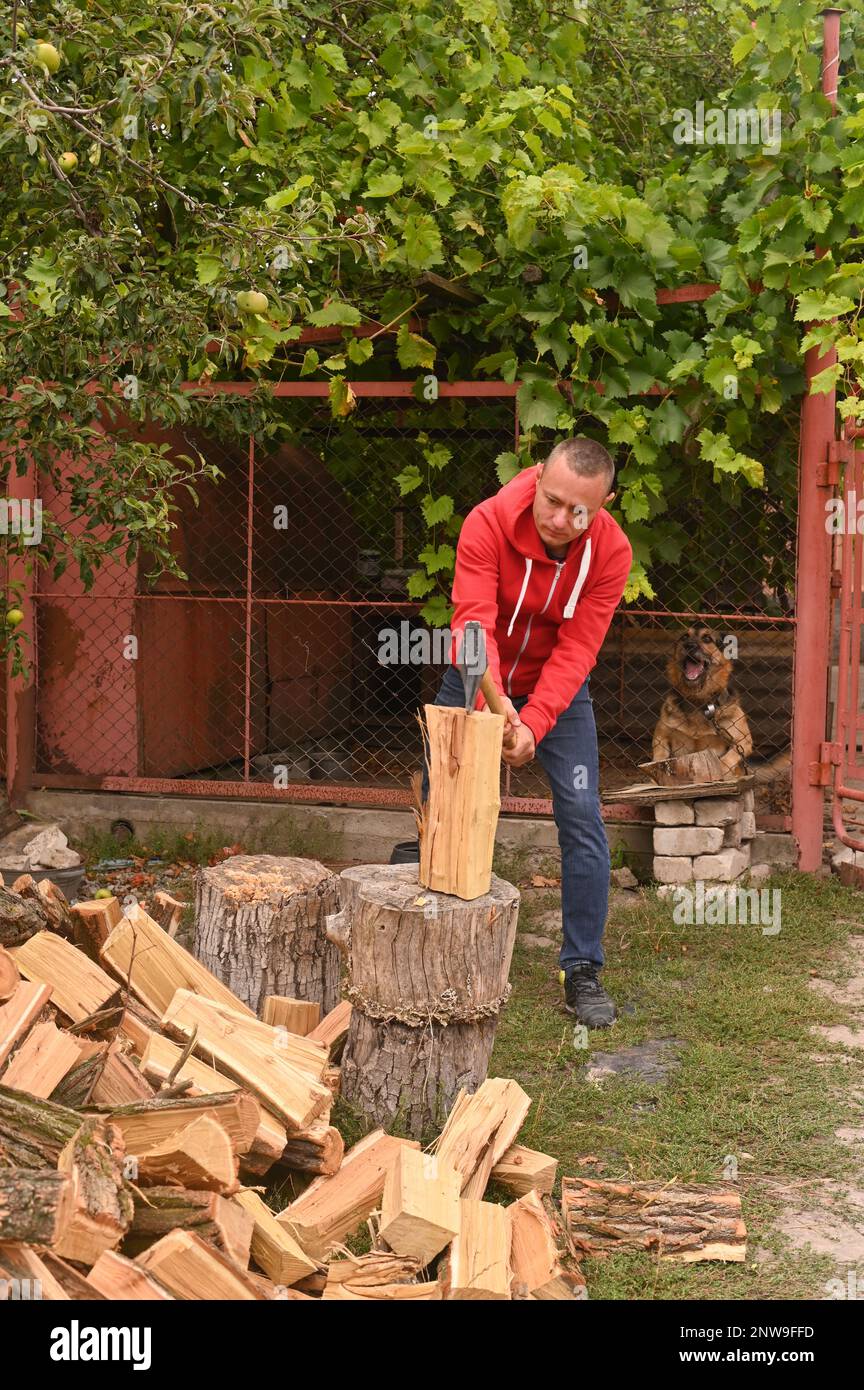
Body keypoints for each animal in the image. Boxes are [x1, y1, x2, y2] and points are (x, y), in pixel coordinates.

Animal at [652, 625, 755, 778]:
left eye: (707, 638)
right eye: (684, 637)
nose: (688, 645)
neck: (698, 699)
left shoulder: (743, 741)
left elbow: (725, 760)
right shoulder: (660, 737)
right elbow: (658, 759)